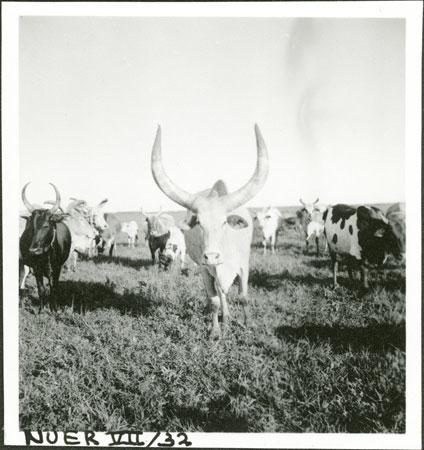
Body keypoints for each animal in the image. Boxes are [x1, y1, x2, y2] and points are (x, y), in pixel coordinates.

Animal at [150, 124, 268, 338]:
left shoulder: (244, 265)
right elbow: (214, 301)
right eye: (199, 223)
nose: (212, 256)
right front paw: (214, 330)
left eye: (224, 223)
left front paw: (248, 324)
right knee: (217, 294)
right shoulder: (205, 269)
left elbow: (243, 296)